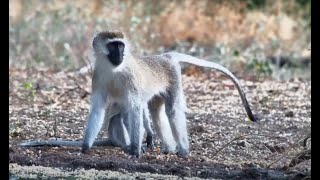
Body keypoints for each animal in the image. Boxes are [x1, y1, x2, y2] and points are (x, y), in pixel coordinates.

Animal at [81, 29, 256, 158]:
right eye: (113, 46)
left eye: (121, 46)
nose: (120, 54)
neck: (114, 69)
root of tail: (165, 57)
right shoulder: (98, 76)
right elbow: (98, 109)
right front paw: (85, 146)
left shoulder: (131, 79)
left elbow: (135, 108)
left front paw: (135, 150)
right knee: (156, 112)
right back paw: (170, 148)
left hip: (174, 78)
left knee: (172, 110)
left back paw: (183, 150)